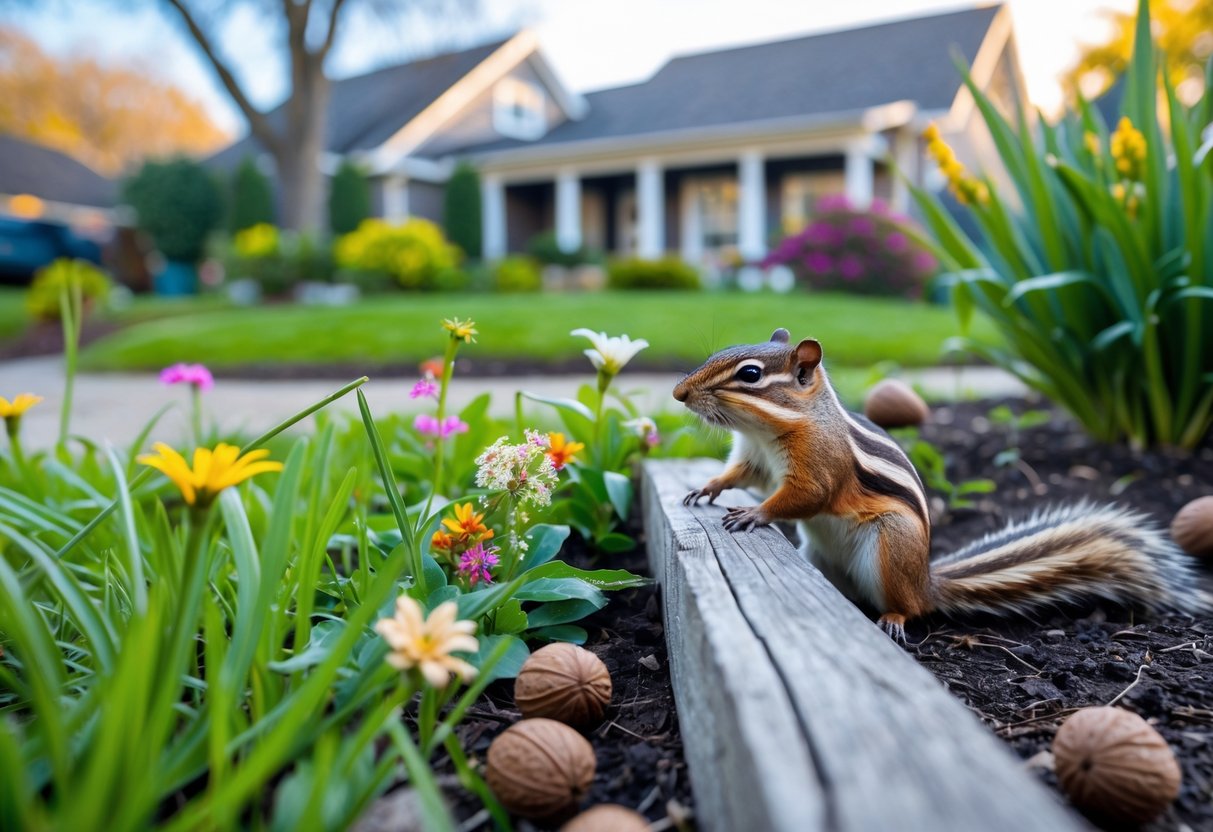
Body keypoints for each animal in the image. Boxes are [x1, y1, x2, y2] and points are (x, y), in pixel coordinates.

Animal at [673, 329, 1213, 641]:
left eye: (749, 374)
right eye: (725, 352)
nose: (678, 393)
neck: (769, 431)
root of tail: (927, 581)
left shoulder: (819, 465)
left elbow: (804, 496)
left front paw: (754, 513)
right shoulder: (754, 459)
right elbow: (738, 475)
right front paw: (706, 487)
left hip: (891, 546)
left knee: (910, 609)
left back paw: (893, 619)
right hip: (823, 557)